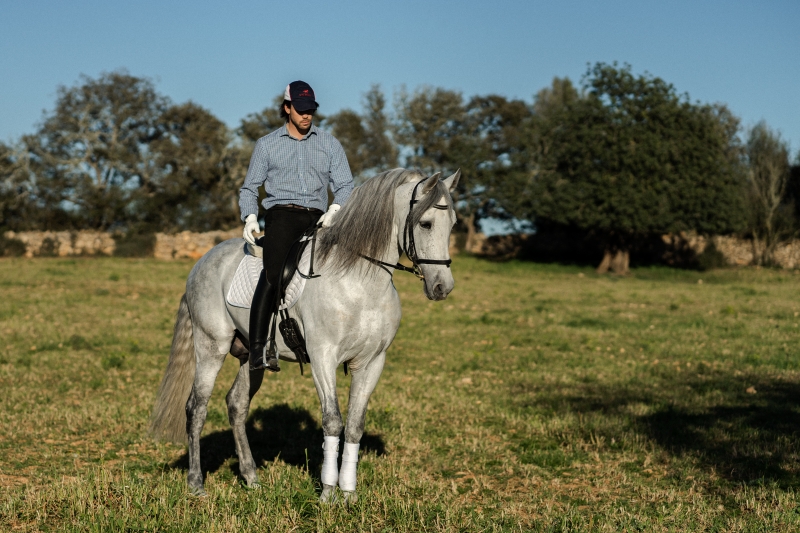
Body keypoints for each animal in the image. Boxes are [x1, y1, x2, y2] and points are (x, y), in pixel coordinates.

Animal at [150, 168, 460, 500]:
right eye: (426, 223)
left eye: (453, 223)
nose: (442, 287)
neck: (360, 282)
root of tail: (202, 261)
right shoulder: (323, 358)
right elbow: (333, 422)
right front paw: (327, 494)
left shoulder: (372, 362)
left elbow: (355, 426)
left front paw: (348, 494)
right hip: (211, 346)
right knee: (197, 407)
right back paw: (196, 485)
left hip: (250, 356)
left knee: (237, 404)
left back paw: (251, 478)